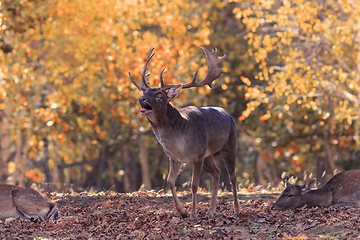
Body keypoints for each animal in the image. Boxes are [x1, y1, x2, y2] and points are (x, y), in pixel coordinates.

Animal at [128, 47, 240, 218]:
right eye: (144, 92)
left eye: (160, 96)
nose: (142, 99)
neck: (180, 143)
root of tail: (228, 114)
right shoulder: (175, 158)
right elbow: (170, 181)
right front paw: (183, 211)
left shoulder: (198, 155)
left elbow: (194, 185)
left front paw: (193, 213)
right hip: (209, 156)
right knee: (217, 172)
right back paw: (211, 211)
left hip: (230, 145)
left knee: (233, 176)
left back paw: (236, 209)